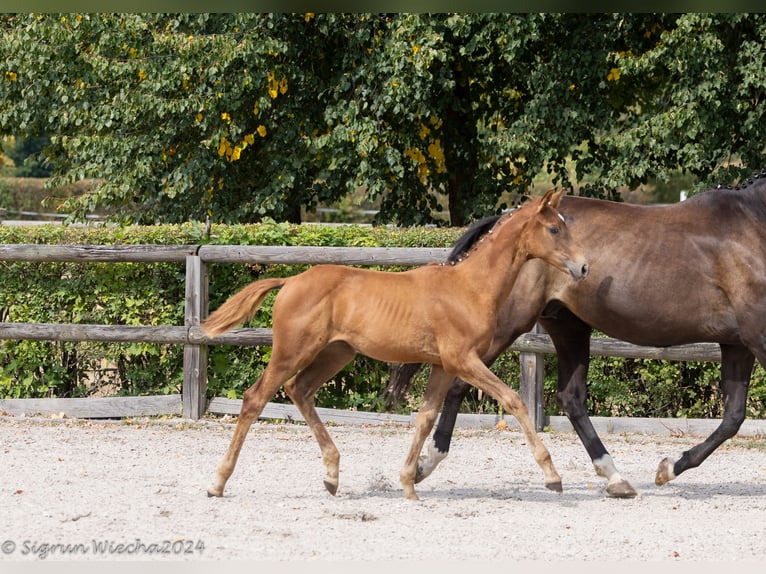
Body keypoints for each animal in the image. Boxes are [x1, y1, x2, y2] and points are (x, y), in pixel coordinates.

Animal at [201, 191, 592, 502]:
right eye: (554, 229)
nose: (584, 267)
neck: (468, 287)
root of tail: (291, 280)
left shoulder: (442, 365)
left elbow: (425, 417)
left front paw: (408, 484)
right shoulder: (462, 360)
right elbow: (514, 400)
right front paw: (552, 477)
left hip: (336, 353)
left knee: (299, 390)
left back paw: (331, 476)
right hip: (291, 351)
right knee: (256, 398)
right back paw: (218, 482)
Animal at [396, 176, 766, 500]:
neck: (754, 223)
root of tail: (504, 219)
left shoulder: (738, 344)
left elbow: (733, 417)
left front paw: (668, 468)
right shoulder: (756, 338)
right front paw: (666, 469)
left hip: (569, 327)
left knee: (570, 397)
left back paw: (615, 478)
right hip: (507, 327)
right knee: (460, 385)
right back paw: (426, 465)